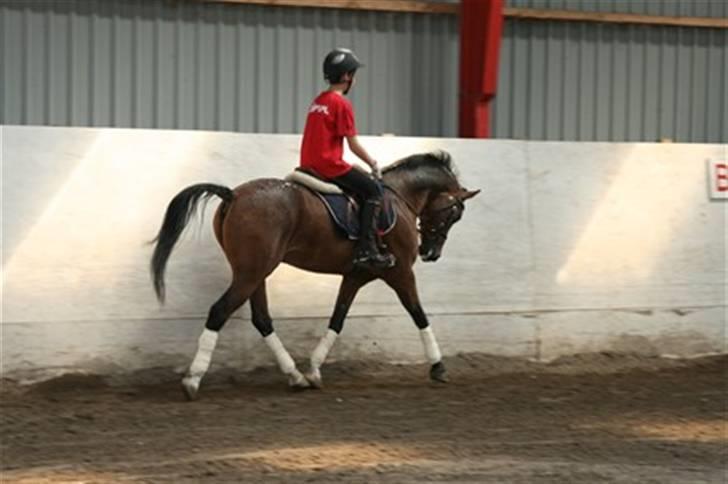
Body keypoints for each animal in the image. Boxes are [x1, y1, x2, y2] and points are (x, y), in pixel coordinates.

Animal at [150, 152, 478, 400]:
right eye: (454, 214)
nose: (430, 253)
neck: (399, 198)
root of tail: (233, 194)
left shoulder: (356, 276)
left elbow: (338, 319)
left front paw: (314, 369)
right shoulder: (400, 273)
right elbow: (418, 313)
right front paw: (438, 366)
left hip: (255, 273)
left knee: (261, 319)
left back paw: (295, 376)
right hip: (252, 272)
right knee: (220, 311)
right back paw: (193, 379)